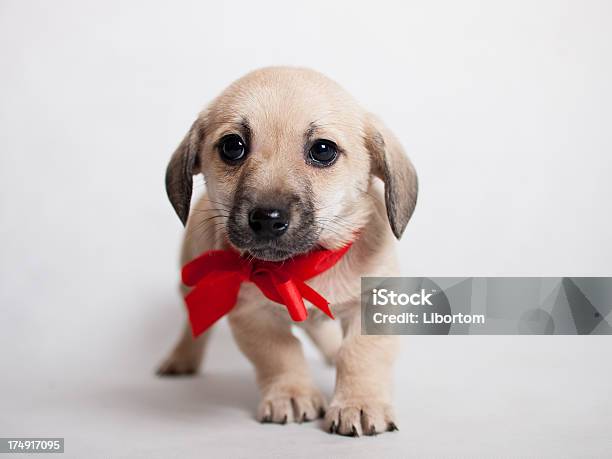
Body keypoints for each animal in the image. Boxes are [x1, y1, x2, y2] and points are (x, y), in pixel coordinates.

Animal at [158, 66, 418, 436]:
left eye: (323, 150)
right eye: (232, 146)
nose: (267, 219)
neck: (301, 267)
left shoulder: (376, 302)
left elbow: (361, 352)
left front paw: (359, 403)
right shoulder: (252, 316)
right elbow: (281, 354)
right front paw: (292, 395)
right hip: (192, 285)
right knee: (194, 325)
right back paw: (181, 358)